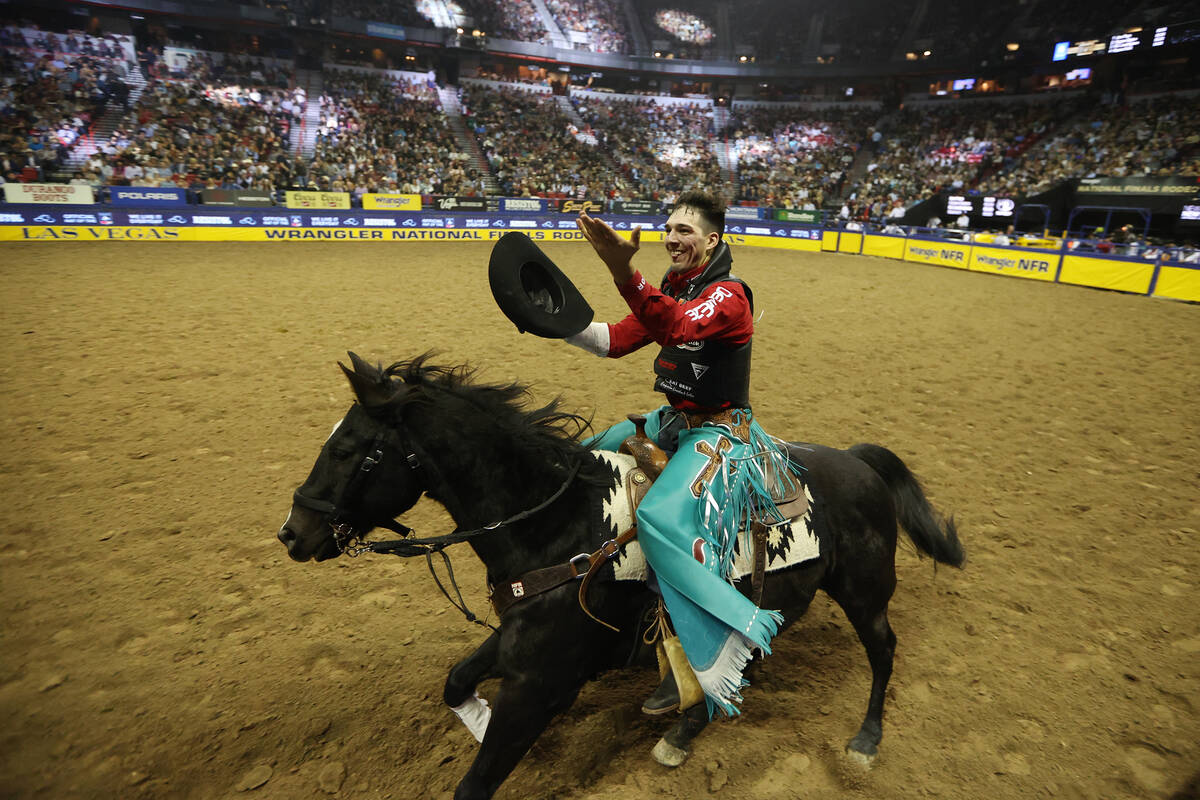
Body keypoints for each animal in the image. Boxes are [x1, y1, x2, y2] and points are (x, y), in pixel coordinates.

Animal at [274, 355, 964, 800]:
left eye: (348, 449)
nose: (292, 534)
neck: (558, 525)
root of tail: (856, 460)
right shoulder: (516, 645)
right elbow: (455, 682)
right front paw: (475, 718)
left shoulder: (543, 683)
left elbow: (475, 783)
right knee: (742, 649)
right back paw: (681, 723)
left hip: (865, 595)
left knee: (883, 651)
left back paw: (865, 741)